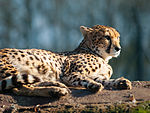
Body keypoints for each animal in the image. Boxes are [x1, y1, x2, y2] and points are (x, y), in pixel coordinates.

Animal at [0, 25, 131, 97]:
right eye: (107, 37)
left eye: (118, 37)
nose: (118, 48)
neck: (102, 57)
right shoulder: (69, 74)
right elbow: (84, 79)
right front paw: (93, 85)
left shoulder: (97, 76)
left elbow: (106, 80)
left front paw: (121, 82)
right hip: (11, 67)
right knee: (20, 88)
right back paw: (55, 90)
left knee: (28, 83)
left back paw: (55, 85)